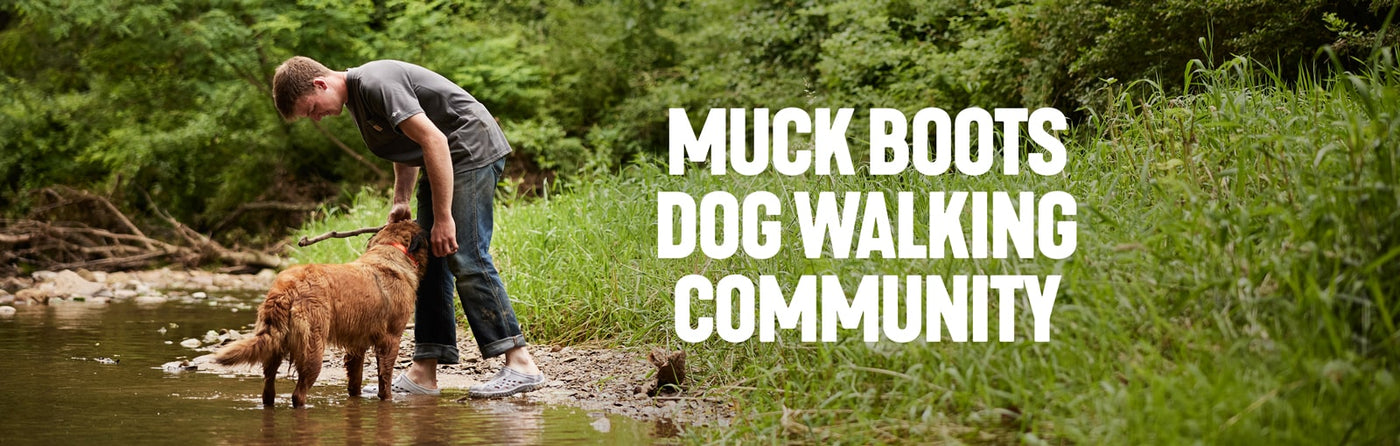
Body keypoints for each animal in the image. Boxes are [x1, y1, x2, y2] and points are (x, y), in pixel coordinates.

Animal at [212, 220, 425, 408]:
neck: (391, 250)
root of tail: (287, 289)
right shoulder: (391, 340)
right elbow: (385, 379)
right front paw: (387, 399)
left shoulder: (357, 345)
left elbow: (355, 381)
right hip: (313, 350)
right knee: (298, 394)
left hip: (274, 349)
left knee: (268, 391)